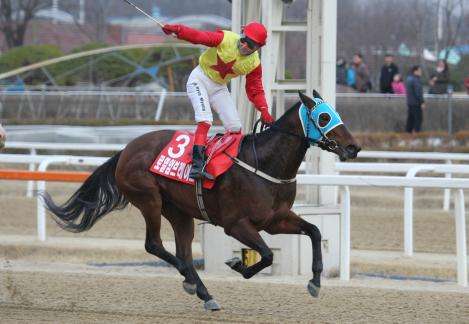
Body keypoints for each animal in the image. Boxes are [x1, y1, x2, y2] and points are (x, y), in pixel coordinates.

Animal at [43, 90, 358, 312]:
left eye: (336, 113)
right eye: (324, 117)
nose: (354, 147)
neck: (265, 164)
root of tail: (126, 150)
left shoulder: (275, 219)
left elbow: (314, 231)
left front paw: (315, 281)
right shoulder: (236, 224)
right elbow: (267, 255)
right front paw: (238, 264)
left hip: (180, 212)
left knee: (182, 251)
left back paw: (202, 291)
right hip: (149, 200)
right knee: (154, 245)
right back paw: (191, 281)